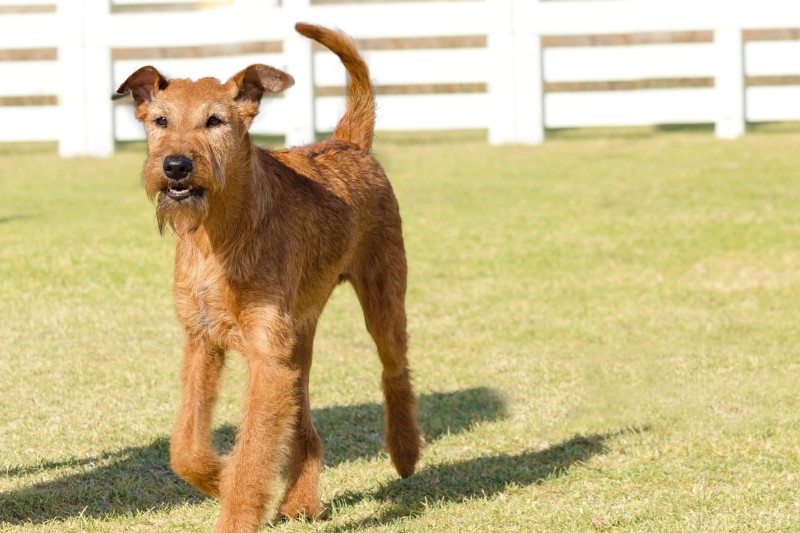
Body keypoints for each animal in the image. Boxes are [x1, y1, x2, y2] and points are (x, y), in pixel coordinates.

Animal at [116, 22, 424, 528]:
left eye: (215, 121)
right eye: (160, 120)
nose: (176, 166)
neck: (219, 235)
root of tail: (348, 141)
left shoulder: (266, 356)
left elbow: (252, 456)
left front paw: (234, 507)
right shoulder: (203, 341)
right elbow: (186, 446)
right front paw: (216, 477)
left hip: (382, 300)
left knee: (394, 370)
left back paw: (405, 452)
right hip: (298, 342)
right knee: (306, 429)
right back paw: (300, 501)